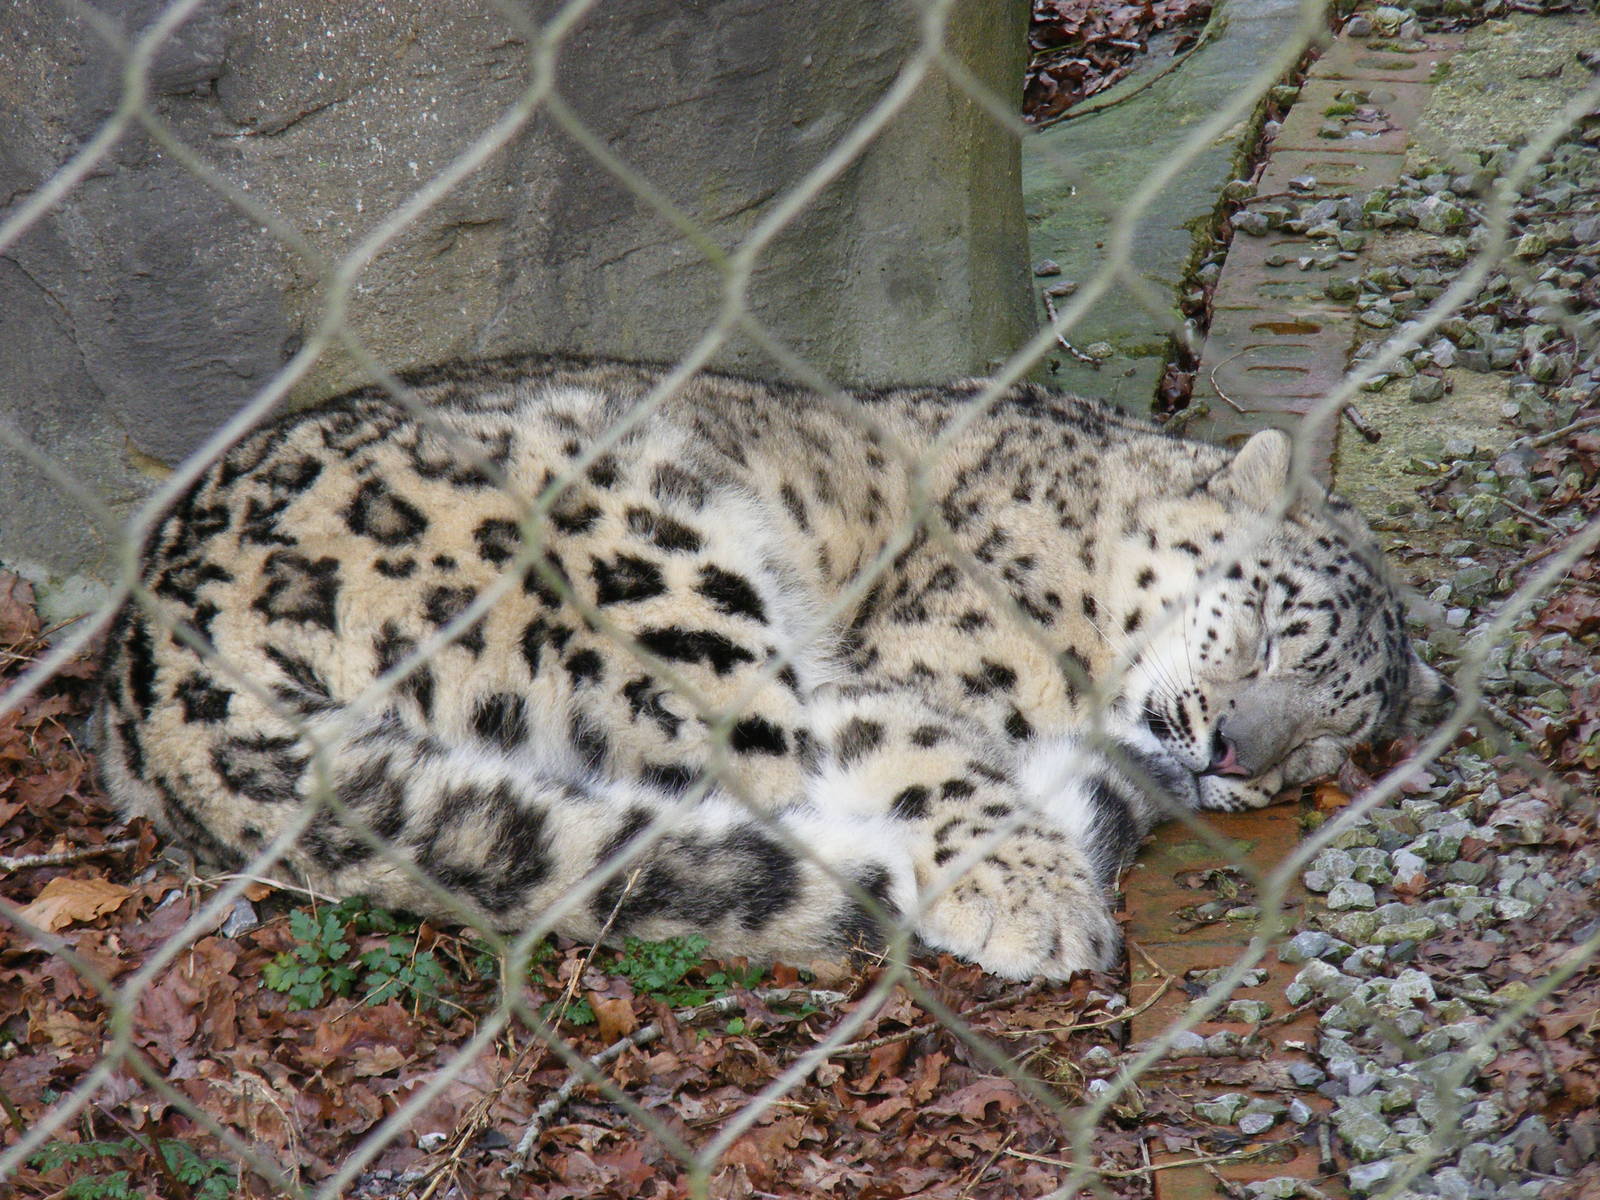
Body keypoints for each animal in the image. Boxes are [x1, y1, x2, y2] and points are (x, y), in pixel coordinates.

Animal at [97, 355, 1445, 980]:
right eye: (1265, 624)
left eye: (1324, 745)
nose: (1230, 749)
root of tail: (147, 674)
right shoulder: (910, 662)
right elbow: (936, 749)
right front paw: (1034, 901)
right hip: (657, 564)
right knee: (768, 775)